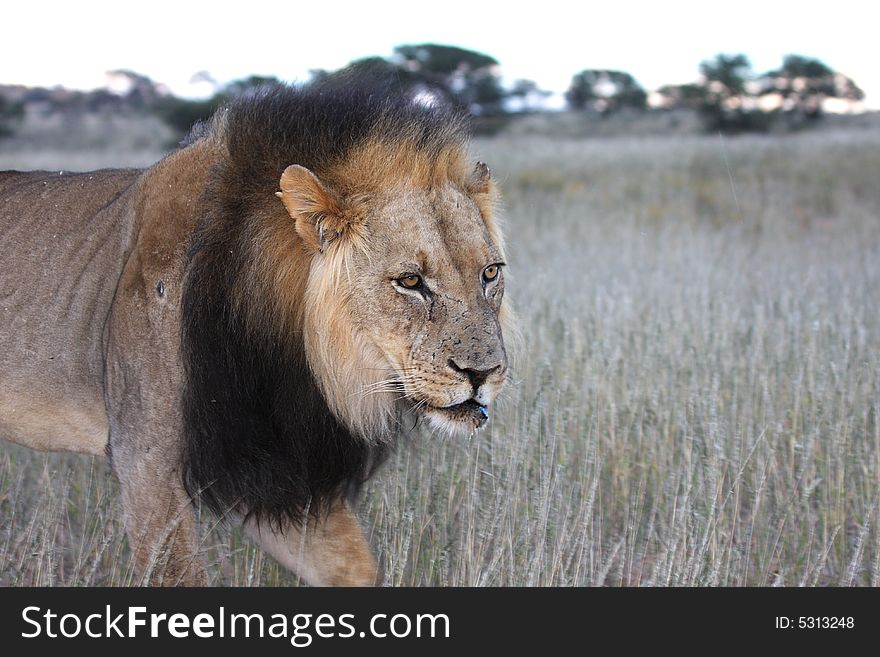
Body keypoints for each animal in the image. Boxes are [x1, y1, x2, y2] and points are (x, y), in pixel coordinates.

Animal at [0, 82, 508, 584]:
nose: (485, 373)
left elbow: (356, 568)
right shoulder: (146, 465)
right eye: (410, 281)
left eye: (490, 273)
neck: (285, 355)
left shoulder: (271, 468)